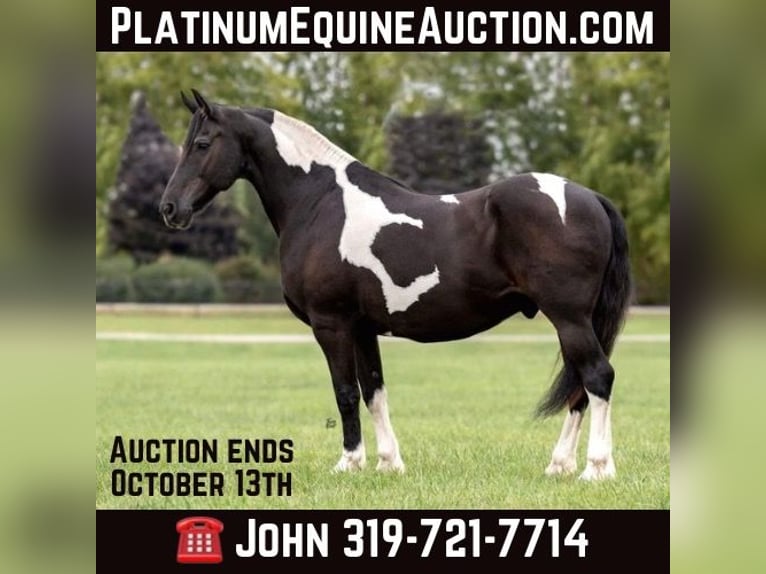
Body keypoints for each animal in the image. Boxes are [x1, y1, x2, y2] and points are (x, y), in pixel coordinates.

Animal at [160, 89, 632, 481]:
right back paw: (560, 464)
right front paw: (388, 463)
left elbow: (345, 392)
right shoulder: (363, 328)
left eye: (202, 145)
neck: (320, 203)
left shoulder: (331, 324)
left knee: (597, 376)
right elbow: (374, 391)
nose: (169, 208)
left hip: (569, 317)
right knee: (580, 386)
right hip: (577, 322)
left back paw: (596, 469)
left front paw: (349, 463)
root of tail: (591, 197)